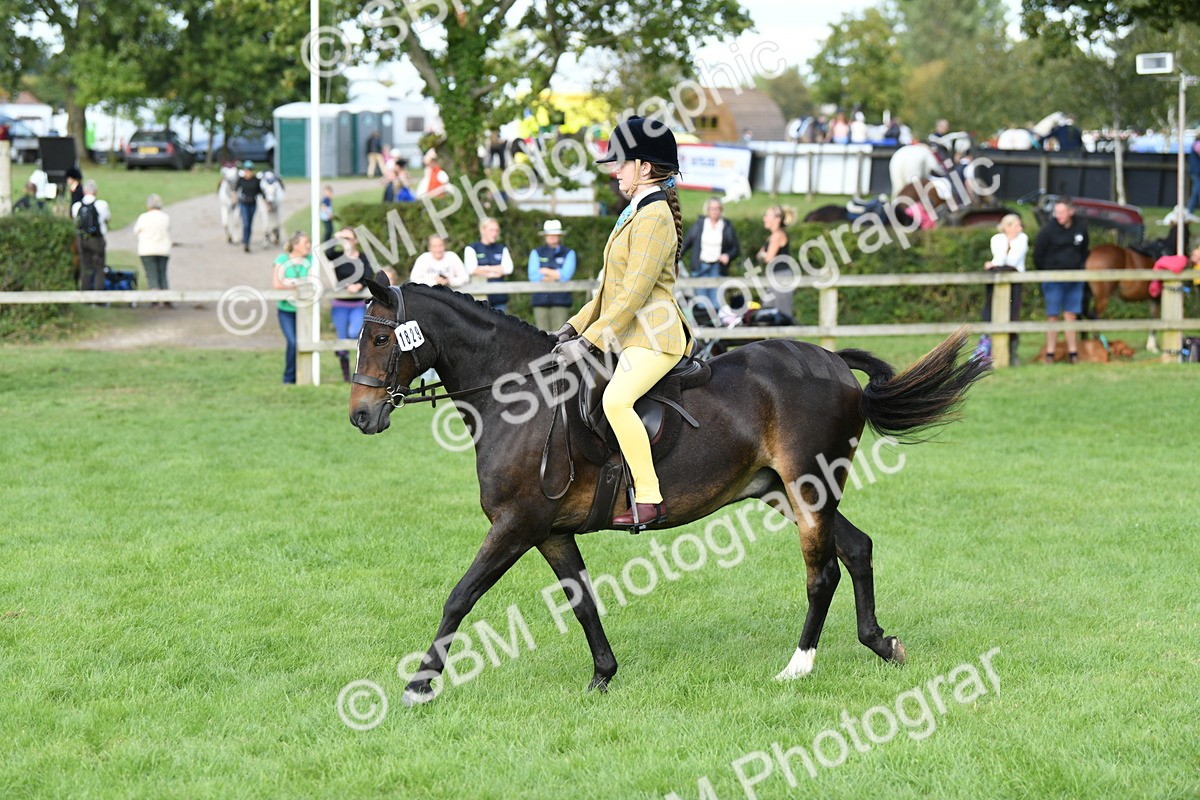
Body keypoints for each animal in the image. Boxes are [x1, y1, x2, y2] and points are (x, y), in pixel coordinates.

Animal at [348, 276, 989, 706]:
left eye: (379, 339)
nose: (361, 416)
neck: (519, 398)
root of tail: (831, 360)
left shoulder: (516, 524)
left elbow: (459, 597)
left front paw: (418, 686)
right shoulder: (549, 532)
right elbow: (582, 600)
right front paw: (603, 675)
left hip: (808, 488)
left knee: (822, 572)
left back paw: (798, 667)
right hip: (786, 490)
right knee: (856, 549)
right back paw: (880, 643)